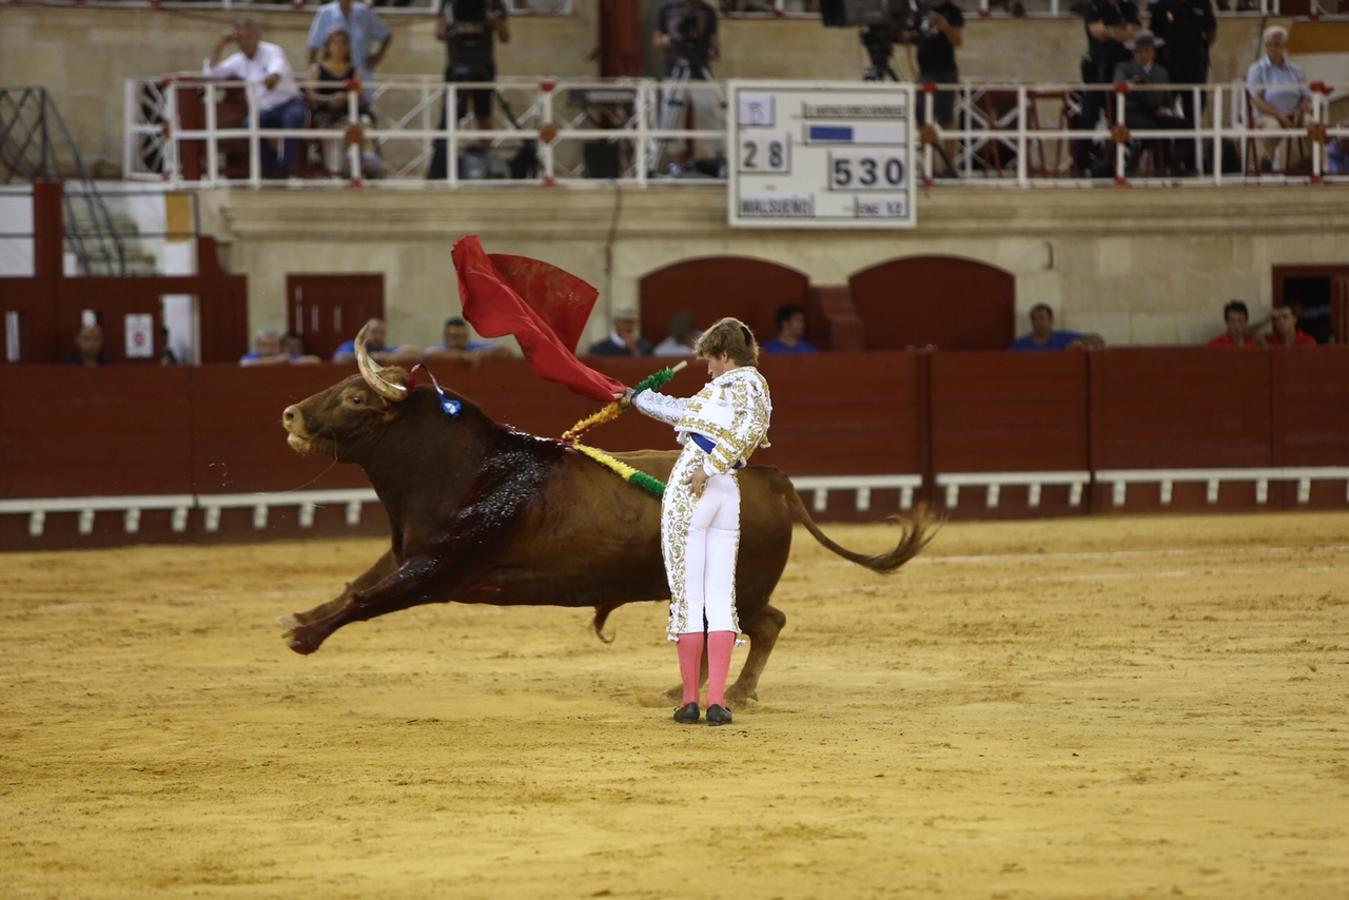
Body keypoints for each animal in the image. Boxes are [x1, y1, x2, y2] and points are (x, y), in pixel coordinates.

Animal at [281, 327, 938, 707]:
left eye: (356, 396)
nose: (289, 414)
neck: (463, 465)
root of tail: (767, 476)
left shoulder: (438, 569)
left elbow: (368, 599)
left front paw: (303, 637)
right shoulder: (408, 552)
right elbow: (357, 584)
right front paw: (303, 617)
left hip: (743, 584)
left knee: (764, 623)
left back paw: (734, 692)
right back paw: (686, 687)